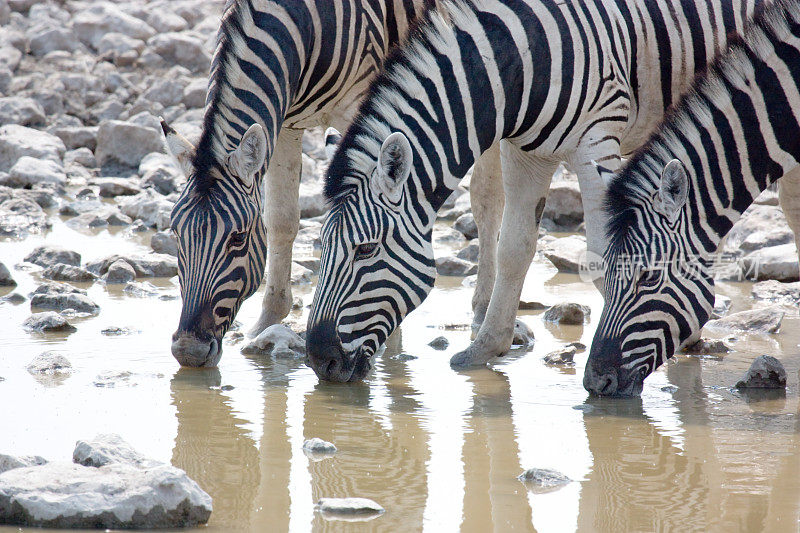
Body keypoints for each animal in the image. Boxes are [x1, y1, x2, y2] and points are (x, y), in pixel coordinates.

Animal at [162, 0, 504, 366]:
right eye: (175, 233)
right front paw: (267, 322)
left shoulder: (362, 106)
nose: (189, 351)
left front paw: (391, 346)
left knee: (486, 199)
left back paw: (483, 308)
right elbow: (281, 220)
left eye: (237, 238)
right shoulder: (285, 122)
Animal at [304, 0, 780, 382]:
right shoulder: (525, 151)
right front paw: (487, 347)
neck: (517, 58)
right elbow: (512, 248)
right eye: (321, 247)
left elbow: (604, 253)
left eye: (365, 249)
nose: (319, 360)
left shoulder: (597, 137)